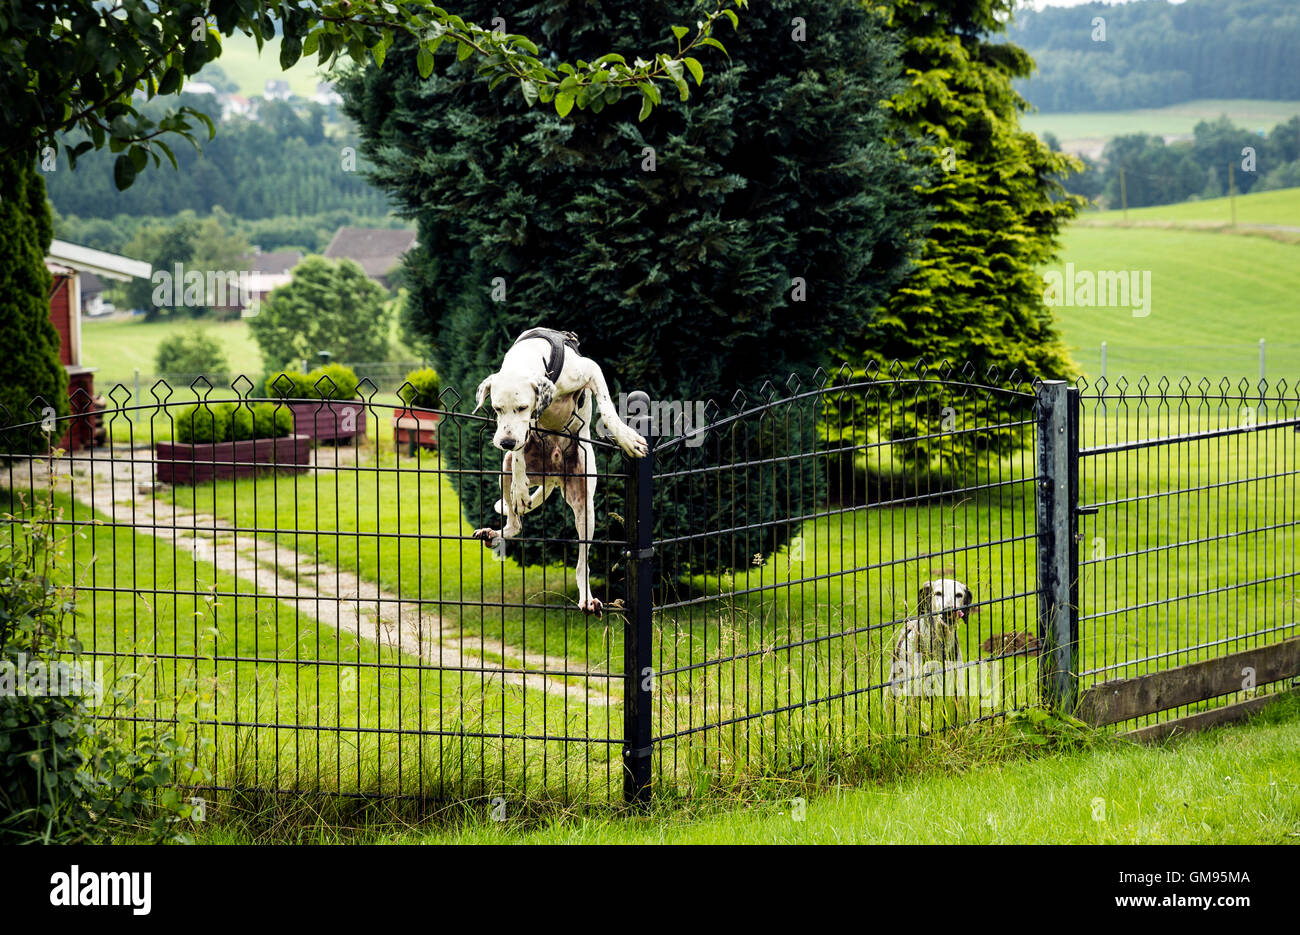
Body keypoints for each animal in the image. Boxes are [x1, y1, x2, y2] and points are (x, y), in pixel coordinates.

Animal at [470, 325, 647, 618]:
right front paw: (520, 487)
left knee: (582, 564)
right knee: (515, 521)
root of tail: (552, 475)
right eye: (496, 408)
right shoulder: (521, 436)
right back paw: (497, 530)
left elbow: (607, 408)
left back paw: (587, 598)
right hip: (504, 471)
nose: (505, 441)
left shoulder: (591, 370)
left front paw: (626, 437)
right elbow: (519, 453)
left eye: (522, 407)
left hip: (585, 507)